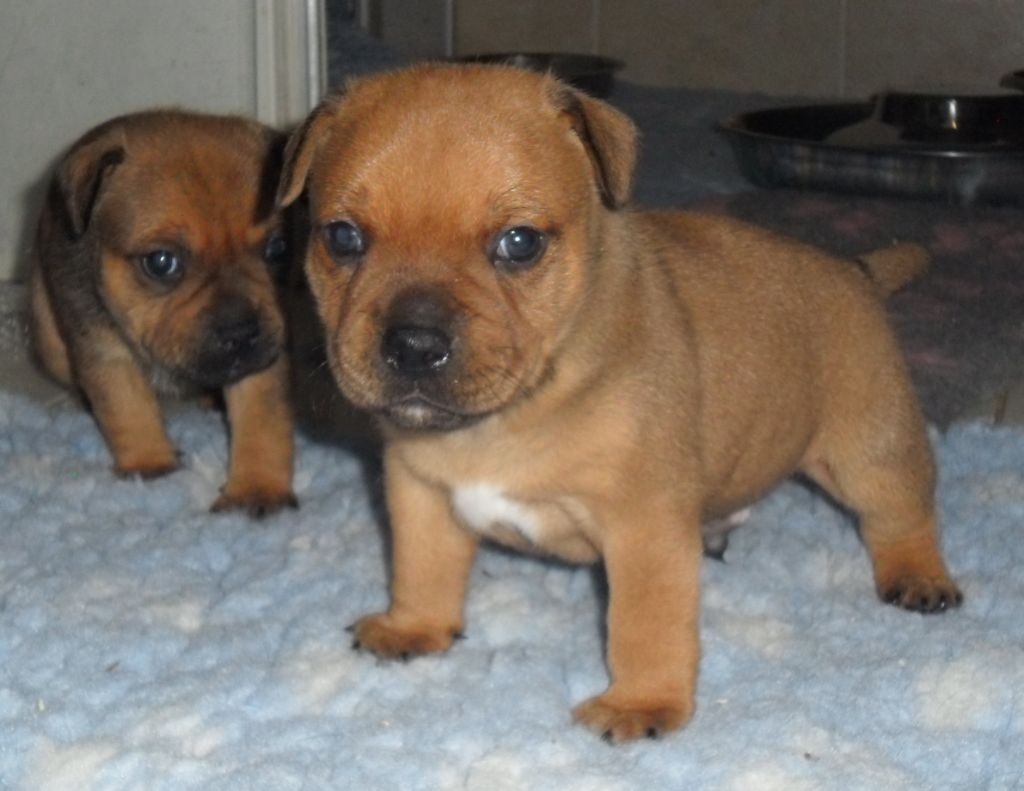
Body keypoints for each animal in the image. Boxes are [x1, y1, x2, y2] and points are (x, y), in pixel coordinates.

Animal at [30, 112, 296, 518]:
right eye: (161, 263)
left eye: (278, 249)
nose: (240, 332)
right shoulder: (106, 351)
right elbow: (127, 408)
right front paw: (150, 464)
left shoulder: (262, 357)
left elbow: (261, 421)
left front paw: (256, 488)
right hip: (49, 341)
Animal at [278, 66, 958, 741]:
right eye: (342, 238)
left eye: (519, 243)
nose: (414, 344)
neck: (505, 416)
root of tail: (855, 270)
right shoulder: (420, 492)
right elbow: (422, 567)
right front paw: (413, 627)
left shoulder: (643, 528)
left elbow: (644, 625)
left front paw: (642, 704)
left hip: (870, 446)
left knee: (900, 512)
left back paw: (919, 577)